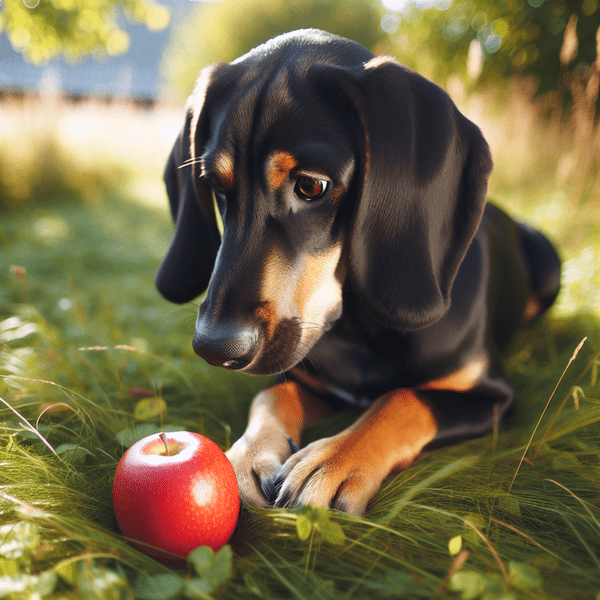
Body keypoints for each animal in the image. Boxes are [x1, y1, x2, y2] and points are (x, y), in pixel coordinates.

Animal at [156, 29, 564, 516]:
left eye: (311, 185)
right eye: (216, 186)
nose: (216, 348)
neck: (360, 330)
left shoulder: (493, 397)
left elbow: (403, 398)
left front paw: (335, 460)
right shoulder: (306, 376)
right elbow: (272, 392)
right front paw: (246, 455)